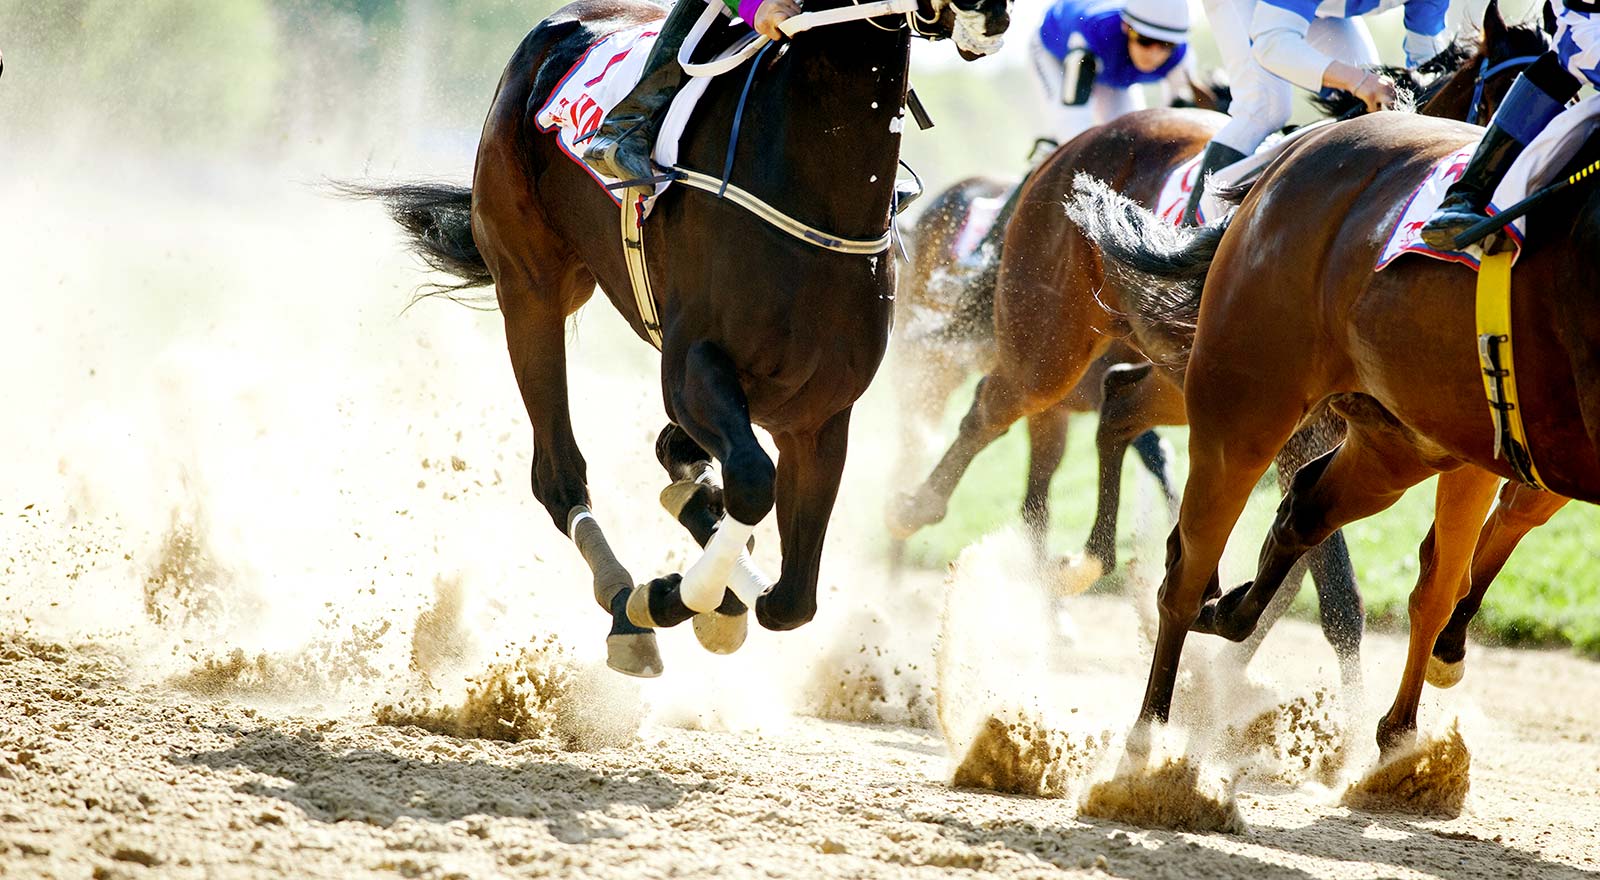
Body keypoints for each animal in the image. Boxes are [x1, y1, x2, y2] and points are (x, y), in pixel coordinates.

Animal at [353, 0, 1011, 678]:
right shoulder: (695, 365)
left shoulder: (819, 414)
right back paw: (624, 600)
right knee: (558, 475)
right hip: (531, 287)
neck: (818, 188)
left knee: (675, 459)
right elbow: (751, 479)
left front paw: (713, 586)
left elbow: (791, 600)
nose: (989, 17)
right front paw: (668, 597)